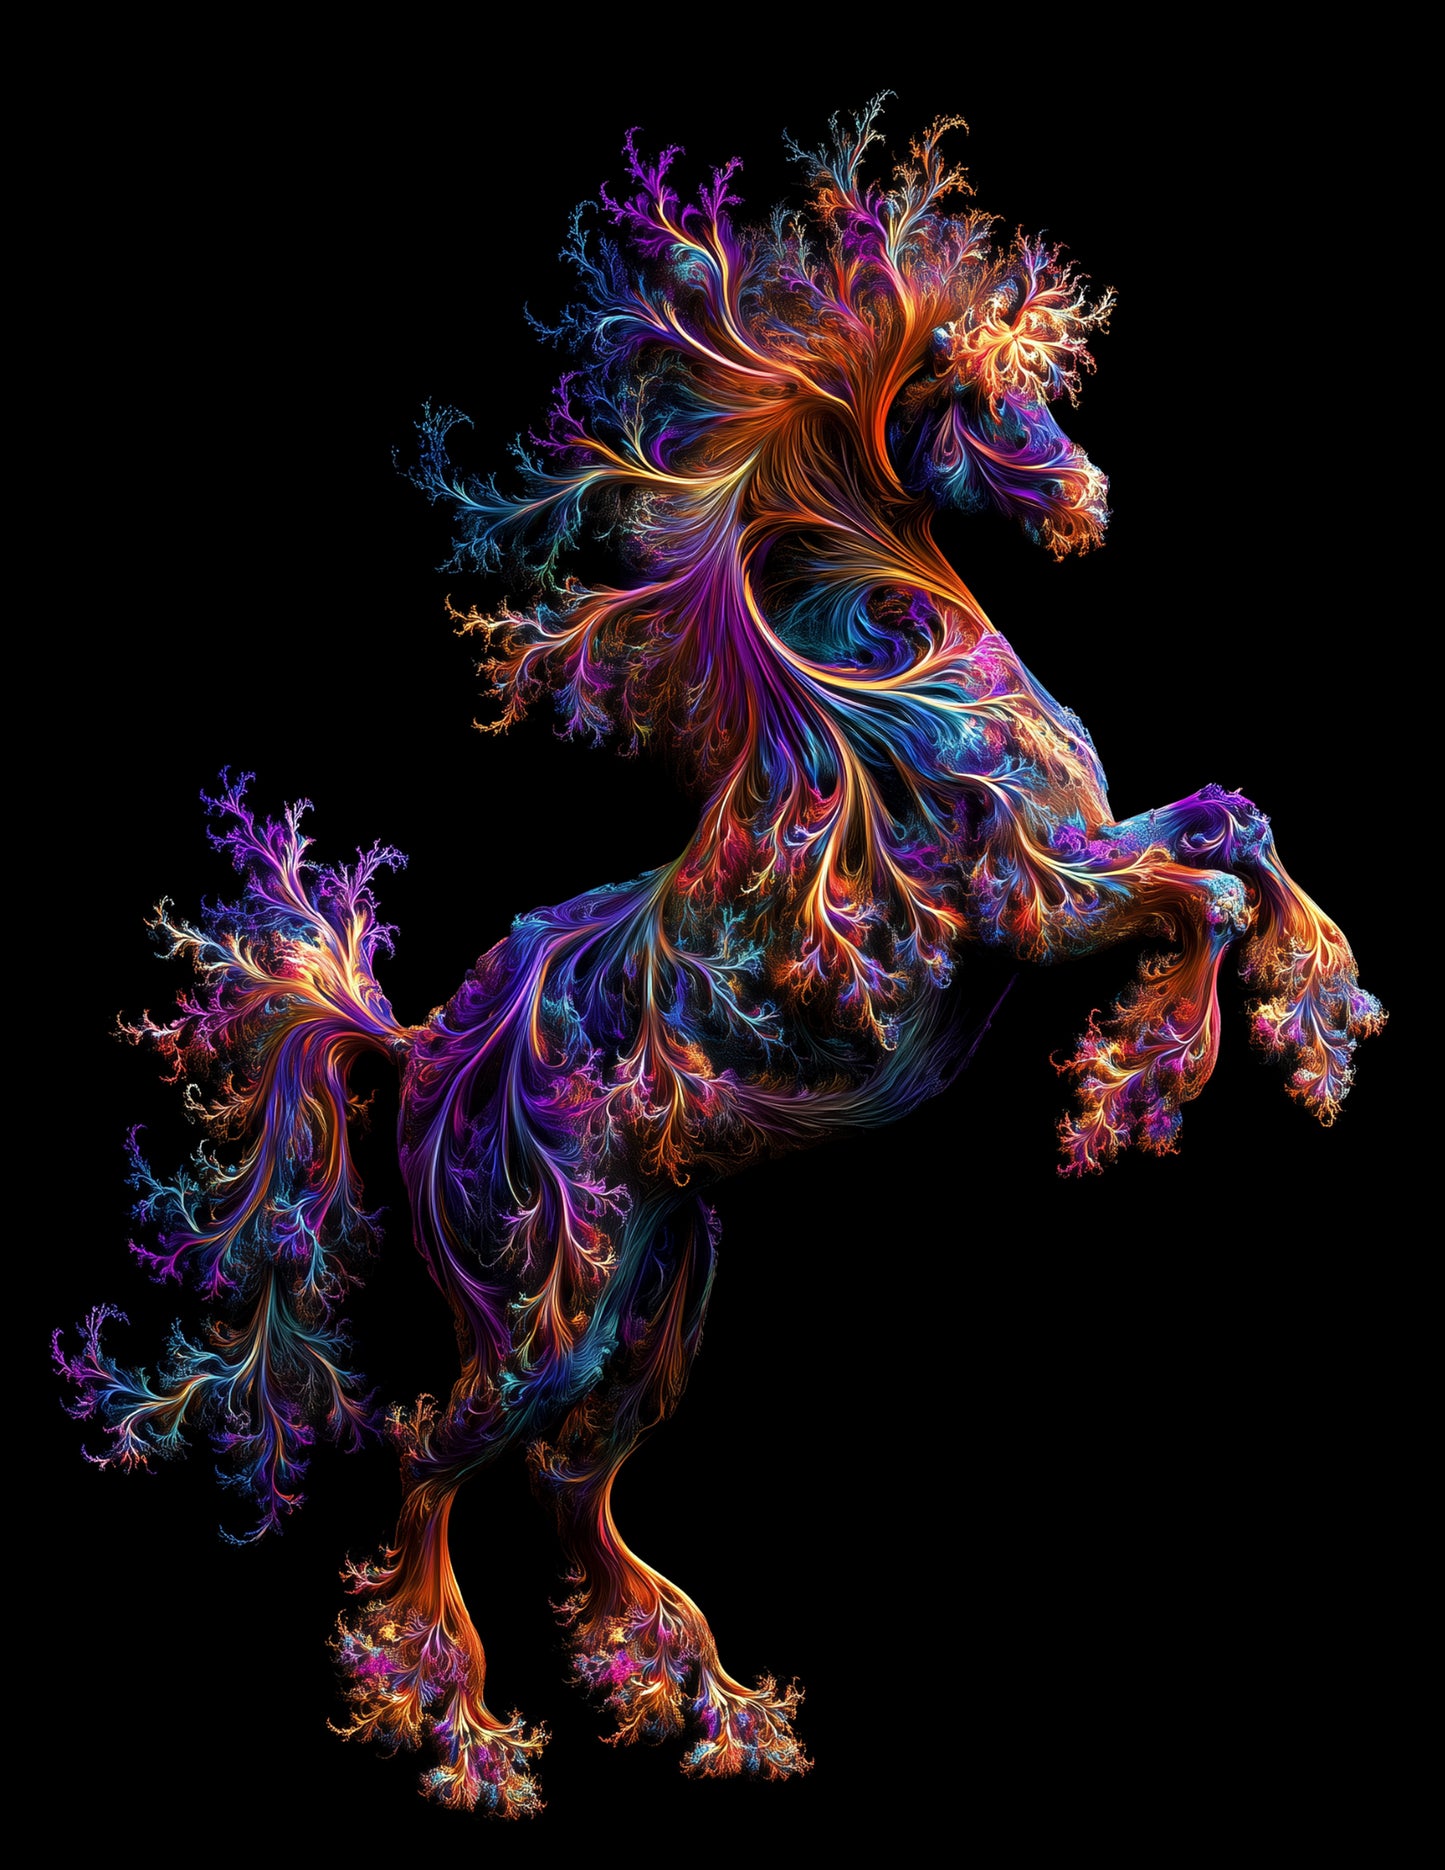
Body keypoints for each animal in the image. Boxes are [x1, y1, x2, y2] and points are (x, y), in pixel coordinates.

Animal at [54, 103, 1384, 1816]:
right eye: (973, 389)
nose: (1087, 492)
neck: (888, 687)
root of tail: (411, 1057)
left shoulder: (1087, 848)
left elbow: (1234, 825)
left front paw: (1324, 1018)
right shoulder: (1036, 910)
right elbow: (1200, 895)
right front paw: (1136, 1085)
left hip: (662, 1281)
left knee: (572, 1485)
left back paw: (709, 1707)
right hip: (542, 1309)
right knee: (431, 1461)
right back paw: (465, 1736)